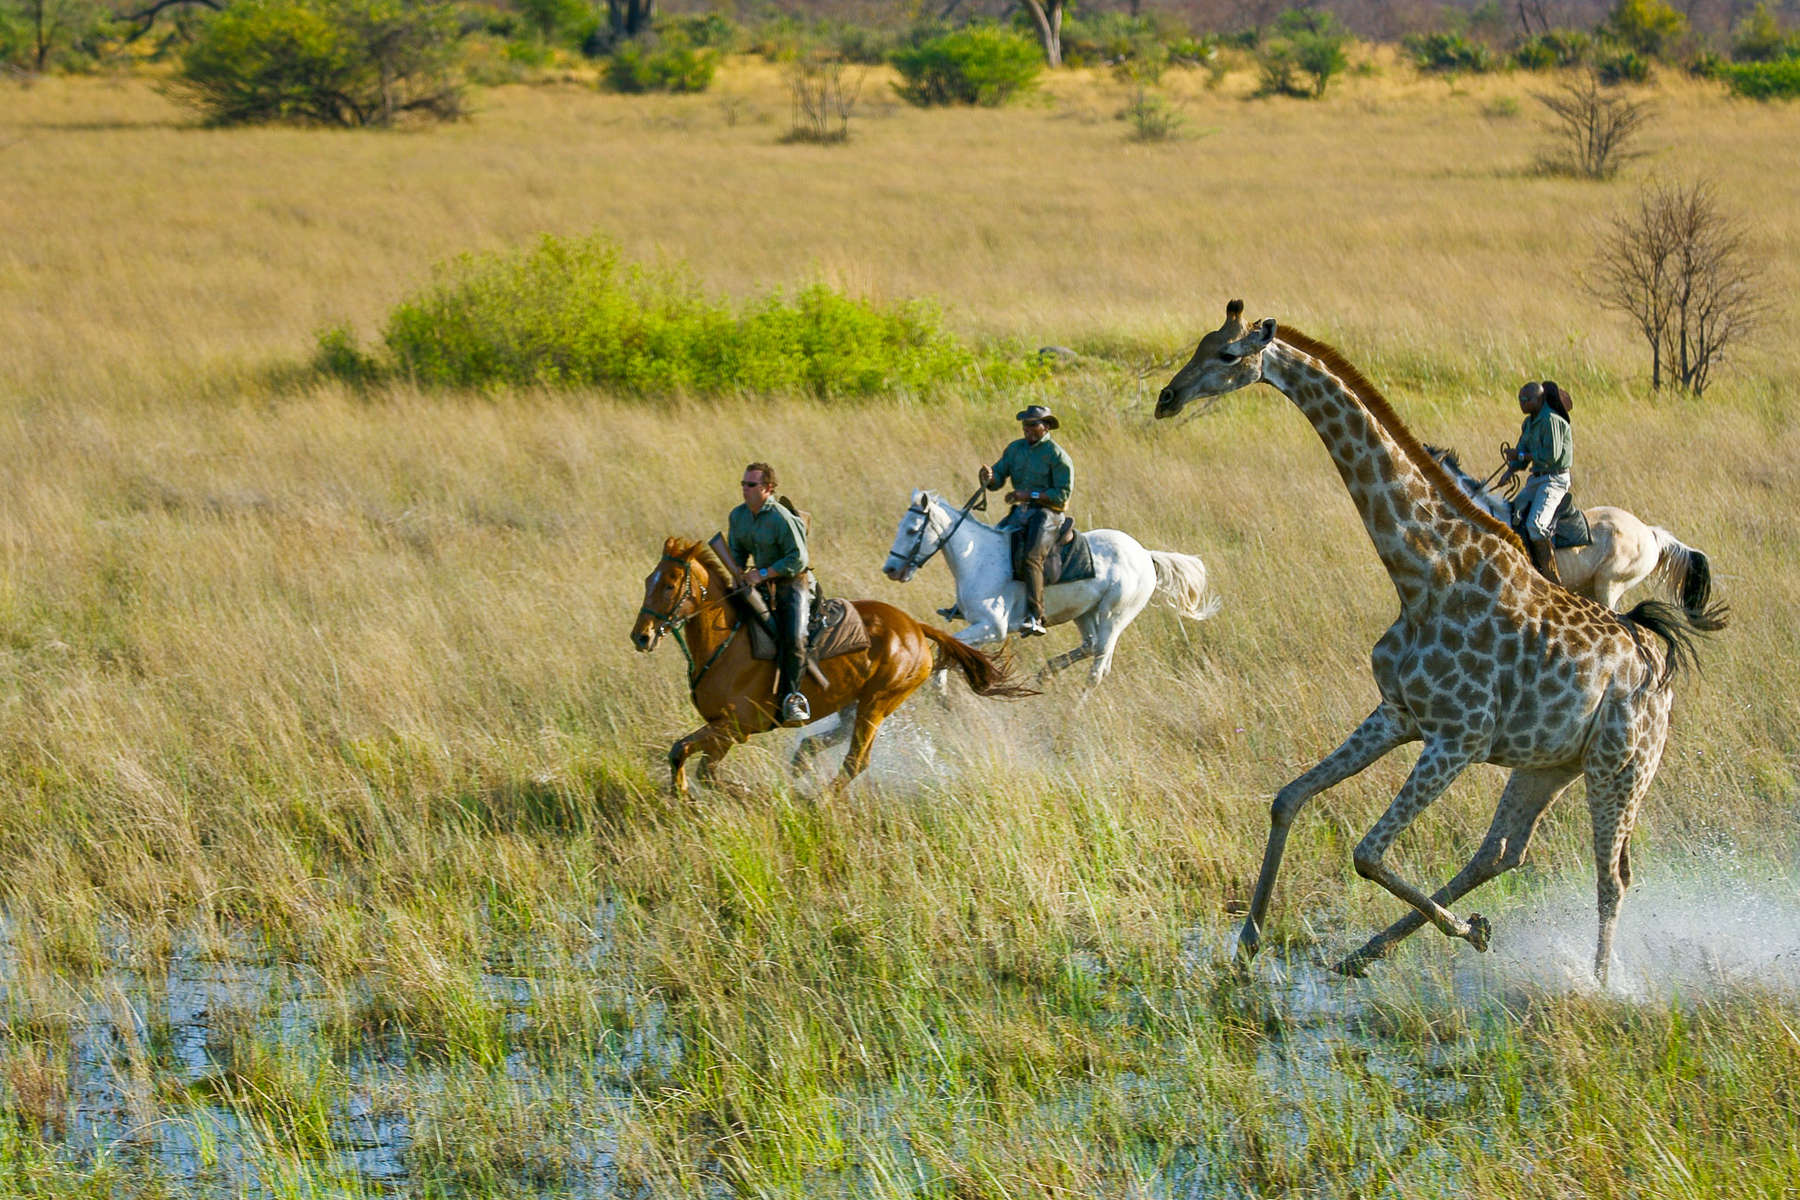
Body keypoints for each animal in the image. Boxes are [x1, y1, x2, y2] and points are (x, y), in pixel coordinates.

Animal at [633, 536, 1029, 798]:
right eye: (648, 580)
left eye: (670, 585)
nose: (641, 636)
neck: (725, 643)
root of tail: (916, 627)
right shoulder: (723, 730)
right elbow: (700, 765)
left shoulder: (733, 727)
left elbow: (685, 754)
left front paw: (698, 792)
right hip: (856, 702)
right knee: (838, 740)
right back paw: (802, 761)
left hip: (877, 703)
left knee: (856, 761)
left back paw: (817, 797)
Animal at [874, 489, 1216, 683]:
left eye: (913, 529)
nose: (890, 569)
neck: (977, 557)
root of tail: (1145, 554)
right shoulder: (980, 627)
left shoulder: (992, 627)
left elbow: (950, 647)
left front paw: (940, 690)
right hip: (1084, 613)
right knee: (1090, 646)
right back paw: (1045, 673)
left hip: (1114, 616)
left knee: (1098, 666)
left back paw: (1075, 712)